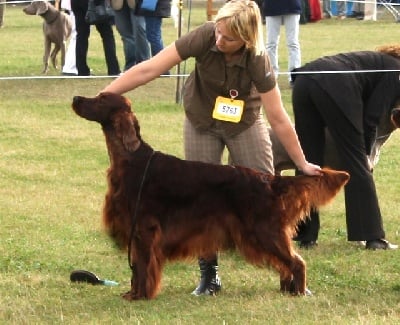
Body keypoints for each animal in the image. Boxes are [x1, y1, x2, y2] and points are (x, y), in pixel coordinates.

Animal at [72, 92, 350, 298]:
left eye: (100, 99)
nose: (76, 98)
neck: (131, 160)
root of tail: (269, 180)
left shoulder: (144, 228)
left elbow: (142, 266)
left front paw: (140, 295)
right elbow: (138, 267)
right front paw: (134, 293)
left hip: (264, 231)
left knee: (297, 262)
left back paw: (299, 292)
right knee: (286, 263)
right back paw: (287, 290)